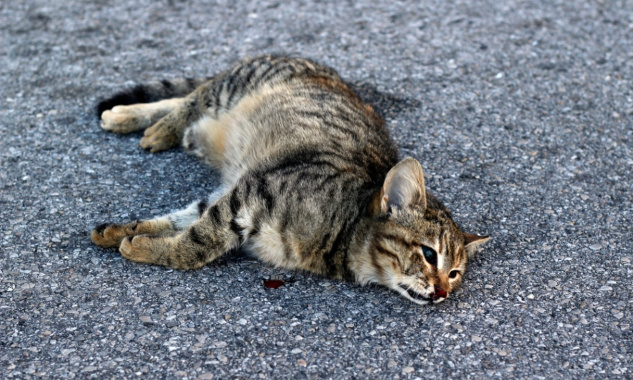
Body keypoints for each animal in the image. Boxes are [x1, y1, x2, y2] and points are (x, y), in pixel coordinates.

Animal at [90, 55, 488, 304]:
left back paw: (127, 117)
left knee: (180, 101)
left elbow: (179, 222)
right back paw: (147, 124)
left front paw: (124, 233)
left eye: (455, 273)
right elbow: (196, 245)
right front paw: (145, 248)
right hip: (230, 88)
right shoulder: (249, 195)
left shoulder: (227, 196)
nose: (442, 291)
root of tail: (316, 64)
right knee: (189, 99)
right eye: (428, 254)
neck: (343, 234)